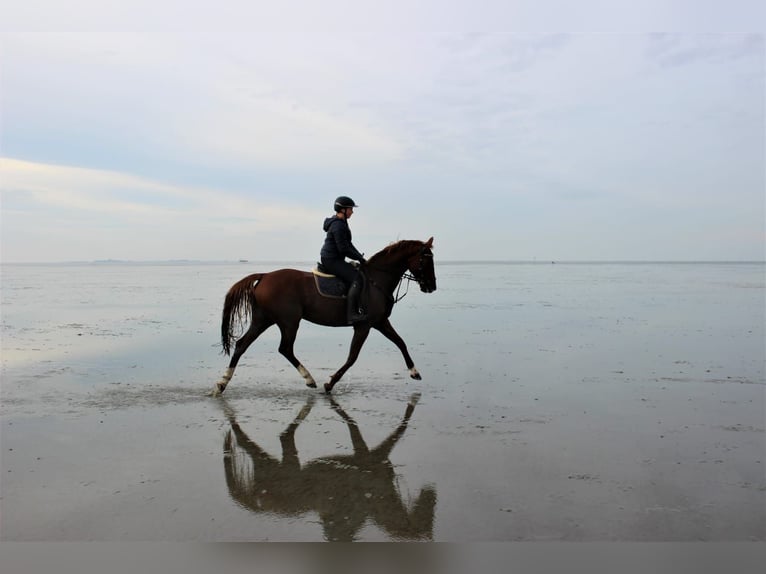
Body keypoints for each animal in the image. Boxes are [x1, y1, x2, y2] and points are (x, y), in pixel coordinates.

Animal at [213, 238, 436, 396]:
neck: (377, 280)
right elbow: (352, 357)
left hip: (263, 319)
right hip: (289, 321)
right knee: (285, 348)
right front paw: (330, 383)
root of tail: (265, 276)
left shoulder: (380, 322)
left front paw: (414, 371)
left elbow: (401, 342)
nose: (431, 286)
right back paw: (309, 379)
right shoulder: (364, 326)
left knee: (242, 345)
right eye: (425, 259)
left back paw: (222, 384)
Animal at [222, 394, 438, 544]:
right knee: (257, 442)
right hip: (277, 465)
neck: (378, 497)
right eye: (427, 516)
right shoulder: (372, 455)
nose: (431, 493)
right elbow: (395, 430)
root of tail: (260, 500)